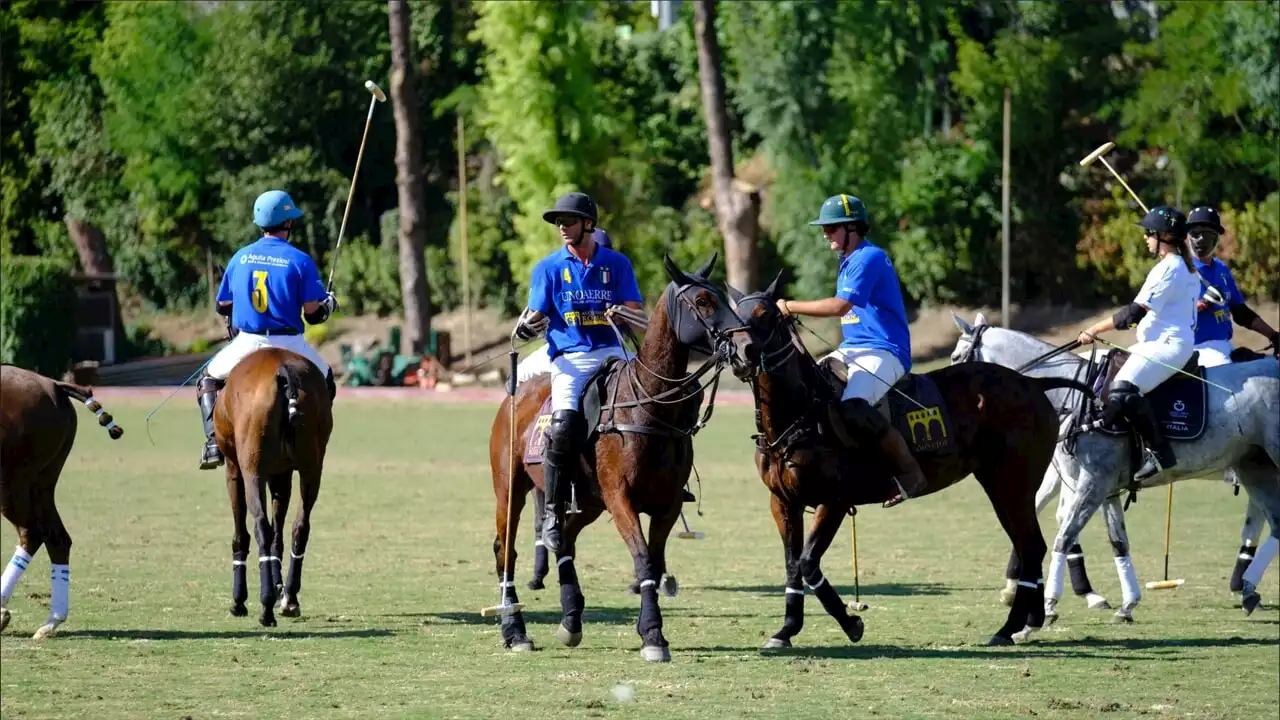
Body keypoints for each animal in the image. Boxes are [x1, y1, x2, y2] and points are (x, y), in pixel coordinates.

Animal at [1, 363, 123, 632]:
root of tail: (53, 384)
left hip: (11, 482)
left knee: (32, 533)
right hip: (42, 483)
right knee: (57, 538)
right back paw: (52, 620)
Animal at [212, 345, 330, 622]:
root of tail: (283, 369)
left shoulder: (235, 470)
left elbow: (241, 534)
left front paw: (239, 601)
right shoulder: (282, 474)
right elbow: (280, 534)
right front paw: (279, 590)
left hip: (252, 470)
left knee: (260, 527)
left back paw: (265, 608)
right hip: (312, 469)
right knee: (300, 527)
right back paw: (290, 599)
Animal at [488, 253, 747, 661]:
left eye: (723, 296)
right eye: (703, 301)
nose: (747, 346)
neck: (648, 406)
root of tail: (515, 392)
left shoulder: (667, 504)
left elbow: (653, 564)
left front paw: (650, 631)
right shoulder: (620, 496)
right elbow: (641, 558)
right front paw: (653, 635)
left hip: (589, 502)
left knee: (565, 539)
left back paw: (571, 619)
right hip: (510, 488)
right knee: (506, 551)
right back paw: (515, 631)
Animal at [727, 274, 1085, 645]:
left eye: (765, 314)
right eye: (730, 316)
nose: (742, 354)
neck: (800, 413)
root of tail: (1033, 383)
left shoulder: (834, 500)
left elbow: (808, 563)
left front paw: (851, 623)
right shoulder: (783, 502)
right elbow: (792, 565)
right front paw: (787, 629)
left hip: (1013, 483)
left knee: (1030, 546)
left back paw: (1008, 628)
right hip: (1002, 485)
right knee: (1030, 546)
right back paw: (1028, 621)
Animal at [952, 311, 1280, 620]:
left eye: (955, 357)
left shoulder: (1096, 483)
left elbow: (1067, 536)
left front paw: (1049, 605)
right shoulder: (1100, 486)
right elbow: (1115, 541)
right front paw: (1127, 603)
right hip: (1253, 466)